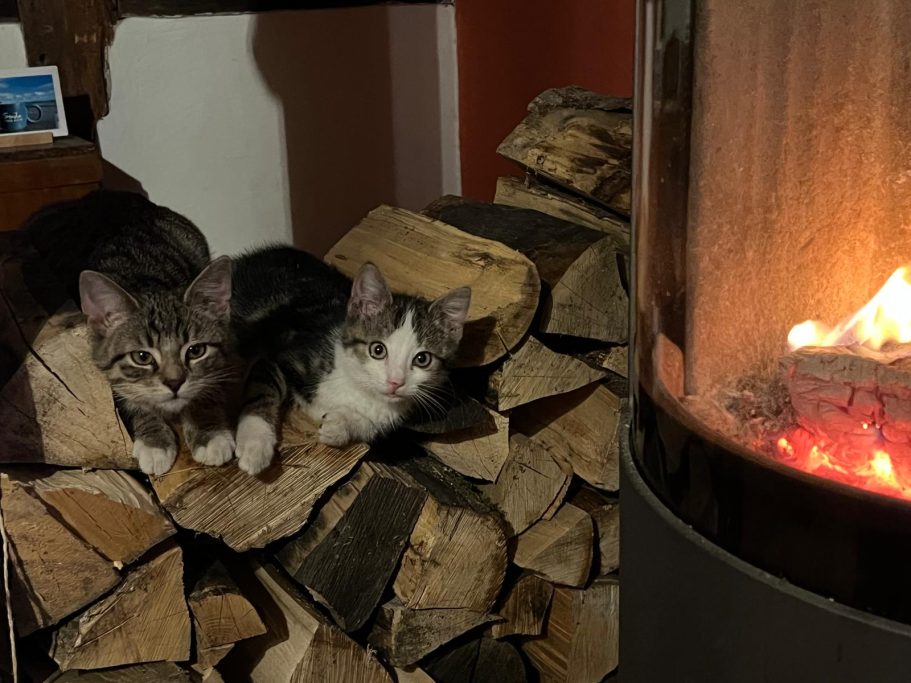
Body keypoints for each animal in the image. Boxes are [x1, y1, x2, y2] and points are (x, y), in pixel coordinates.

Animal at [24, 187, 239, 476]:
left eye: (196, 351)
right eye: (142, 357)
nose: (174, 383)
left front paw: (209, 430)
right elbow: (126, 395)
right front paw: (154, 441)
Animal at [230, 246, 470, 476]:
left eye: (422, 359)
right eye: (378, 350)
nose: (395, 382)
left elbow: (369, 426)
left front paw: (340, 426)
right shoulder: (281, 350)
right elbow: (262, 390)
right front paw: (255, 445)